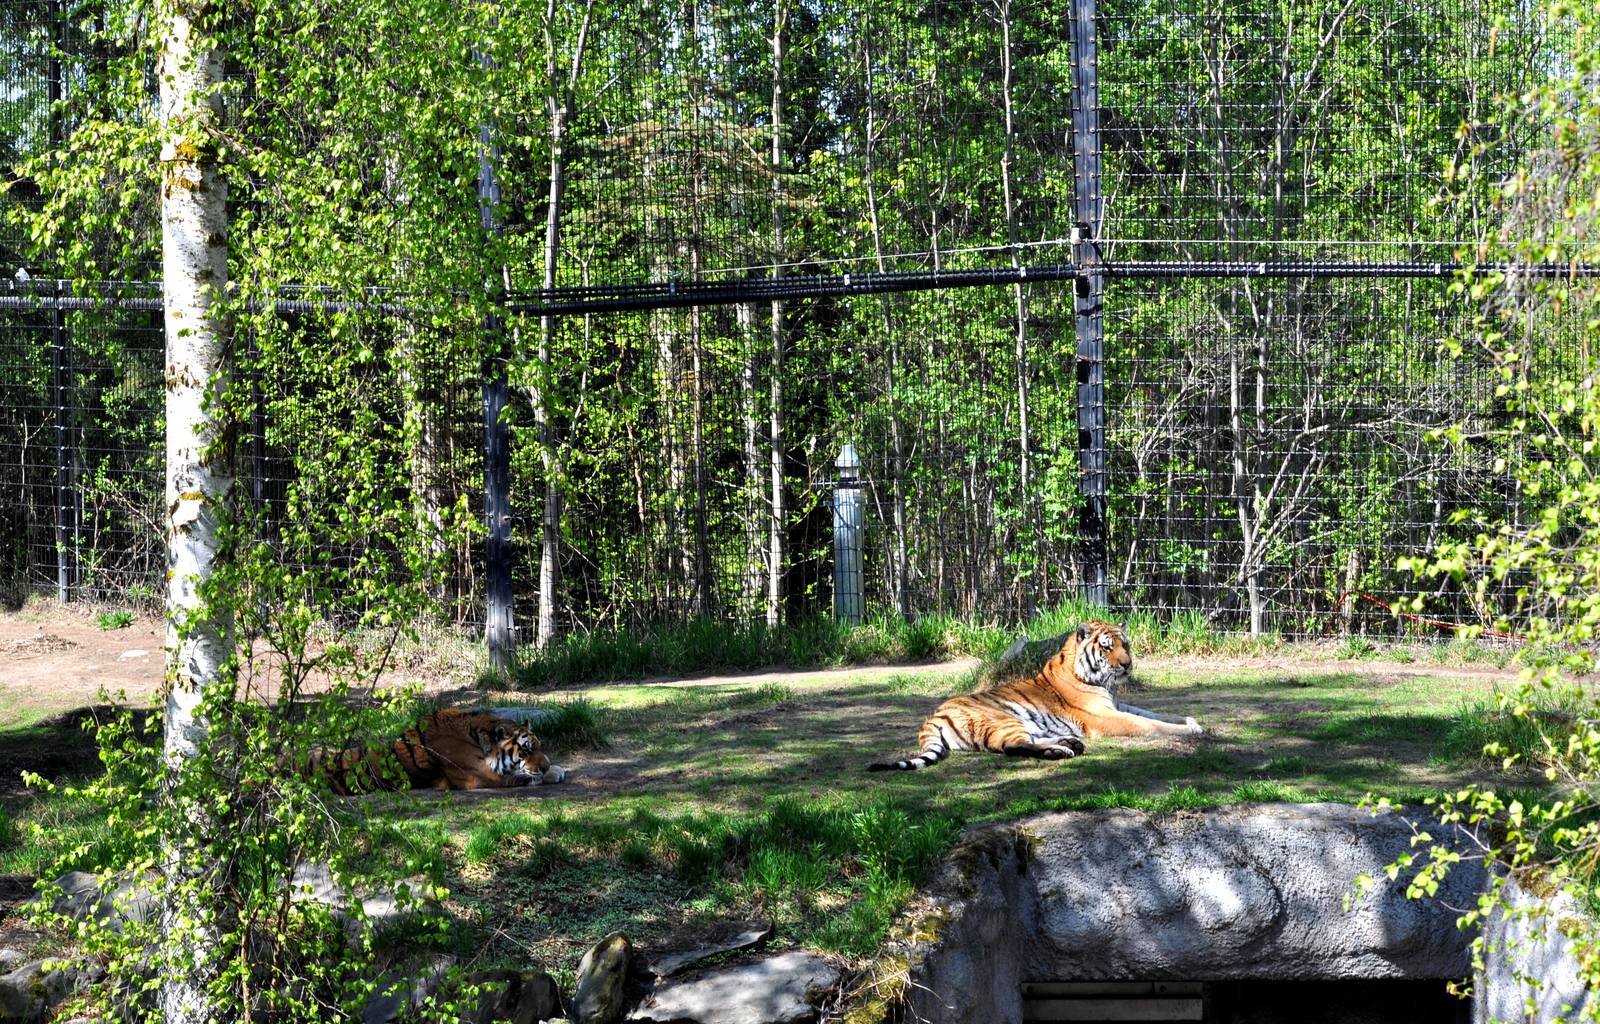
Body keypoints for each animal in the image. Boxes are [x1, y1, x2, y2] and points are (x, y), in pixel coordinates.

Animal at [307, 708, 568, 794]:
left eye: (539, 746)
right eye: (524, 751)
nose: (545, 765)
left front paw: (557, 767)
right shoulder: (477, 775)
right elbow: (521, 776)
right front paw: (553, 773)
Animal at [867, 620, 1203, 771]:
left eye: (1126, 645)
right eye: (1107, 647)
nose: (1127, 664)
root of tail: (933, 716)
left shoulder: (1120, 704)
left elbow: (1157, 714)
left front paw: (1192, 721)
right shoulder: (1104, 716)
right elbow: (1149, 724)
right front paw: (1189, 731)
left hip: (1024, 723)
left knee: (1027, 742)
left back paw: (1069, 744)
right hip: (1004, 719)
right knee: (1012, 748)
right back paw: (1061, 751)